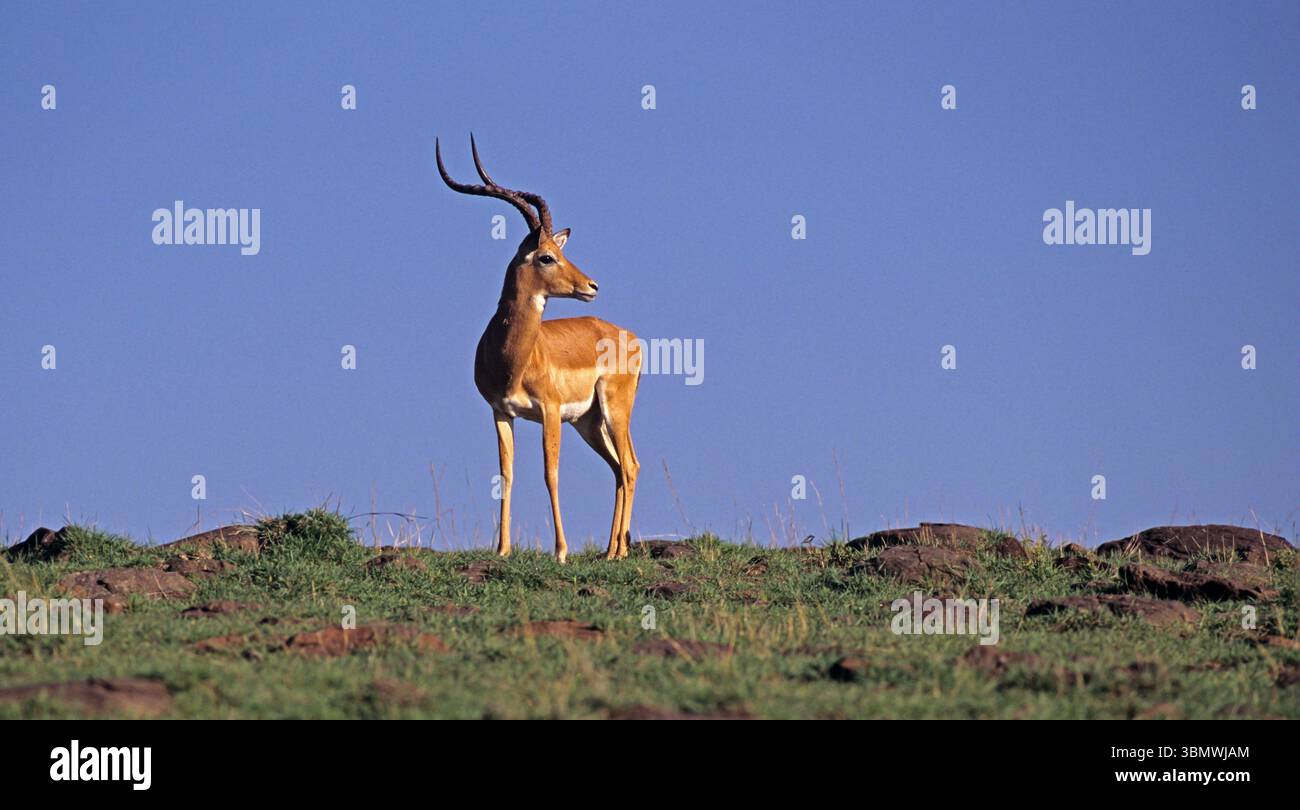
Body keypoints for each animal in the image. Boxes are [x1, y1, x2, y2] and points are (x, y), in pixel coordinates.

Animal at [435, 136, 643, 563]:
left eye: (558, 253)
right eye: (547, 256)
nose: (592, 285)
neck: (511, 359)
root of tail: (627, 335)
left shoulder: (548, 411)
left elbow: (550, 472)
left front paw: (560, 551)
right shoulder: (501, 411)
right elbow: (507, 473)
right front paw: (502, 549)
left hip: (614, 409)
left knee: (630, 466)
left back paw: (619, 553)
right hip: (588, 422)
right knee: (618, 468)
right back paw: (610, 550)